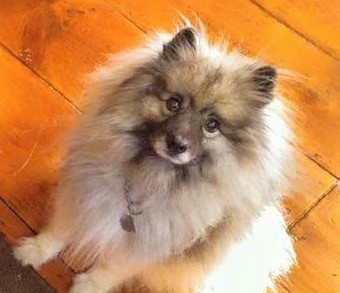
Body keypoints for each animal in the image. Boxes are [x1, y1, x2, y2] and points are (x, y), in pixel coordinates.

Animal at [13, 26, 294, 290]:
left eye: (212, 125)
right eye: (173, 103)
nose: (177, 144)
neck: (148, 177)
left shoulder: (148, 246)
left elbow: (111, 269)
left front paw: (88, 286)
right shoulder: (82, 197)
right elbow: (58, 231)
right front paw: (33, 252)